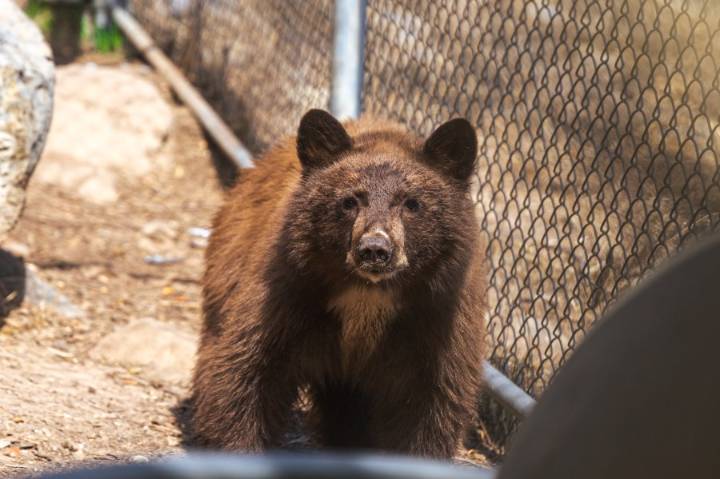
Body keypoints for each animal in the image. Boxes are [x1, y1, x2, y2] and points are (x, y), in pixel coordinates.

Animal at [191, 109, 487, 459]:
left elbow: (431, 401)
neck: (367, 295)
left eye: (411, 203)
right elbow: (246, 372)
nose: (375, 249)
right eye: (350, 201)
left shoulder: (438, 314)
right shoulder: (287, 290)